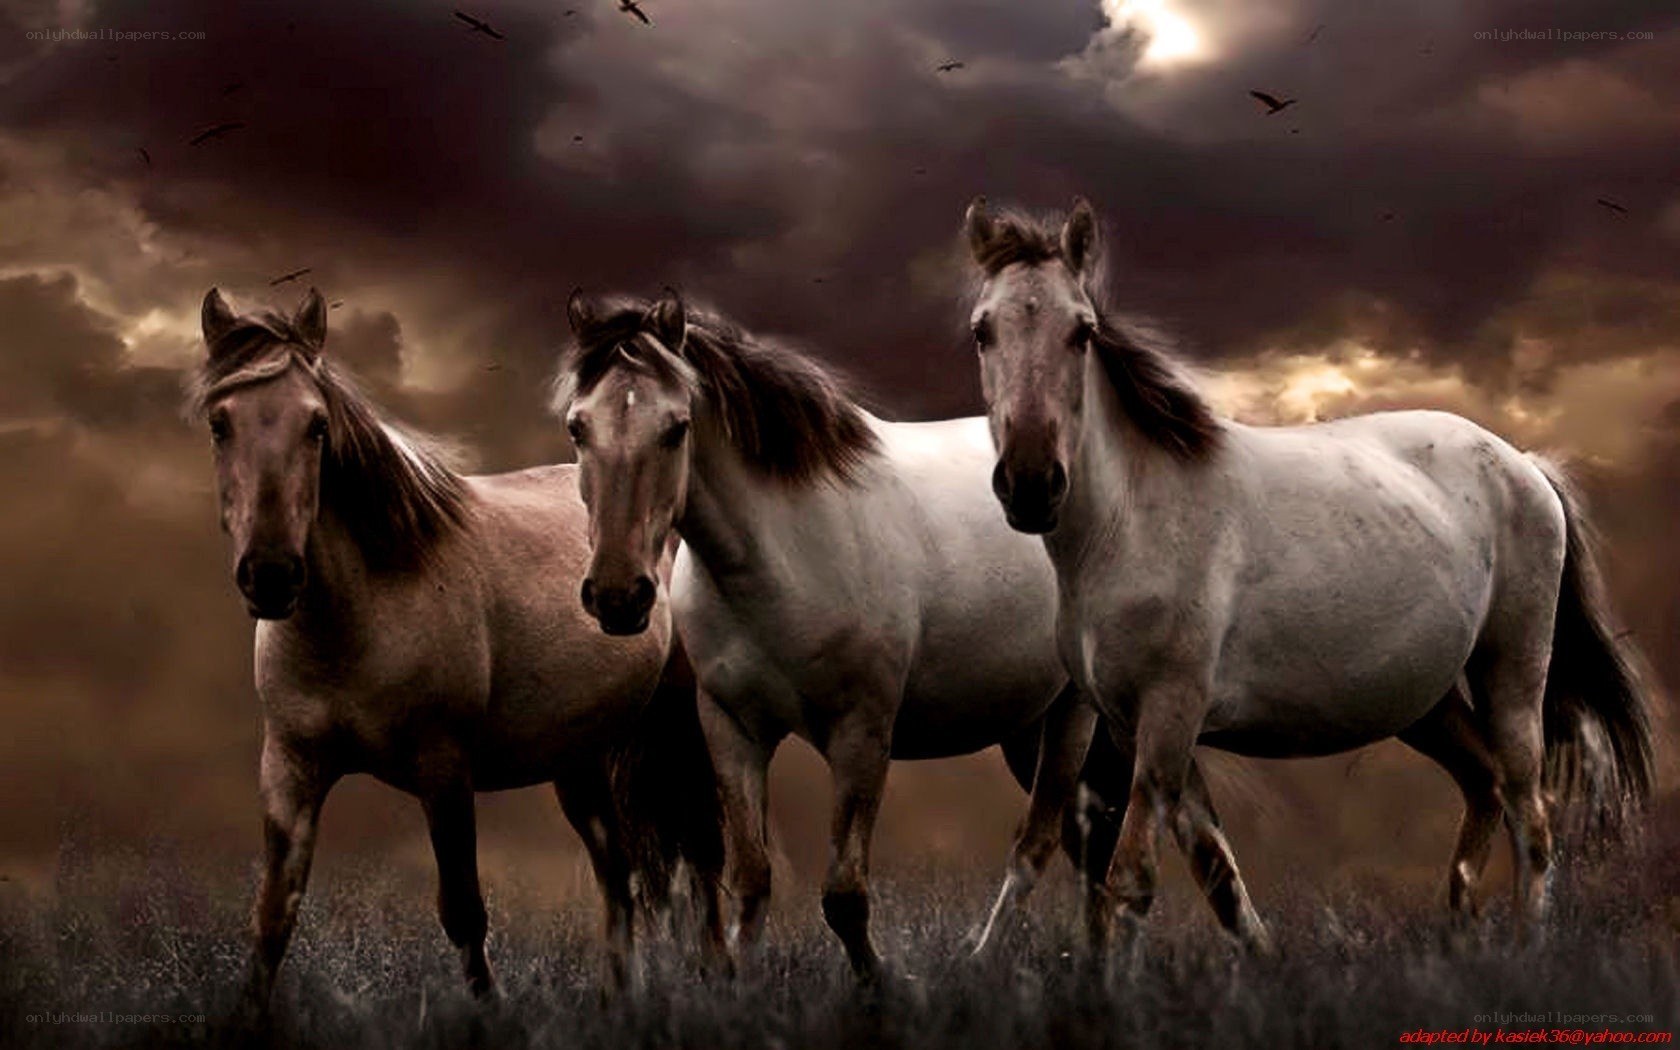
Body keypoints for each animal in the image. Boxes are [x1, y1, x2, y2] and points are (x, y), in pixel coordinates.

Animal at [187, 287, 723, 1010]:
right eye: (221, 424)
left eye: (316, 426)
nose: (271, 576)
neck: (360, 614)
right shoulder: (290, 768)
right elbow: (273, 915)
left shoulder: (443, 772)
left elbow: (464, 911)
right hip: (578, 760)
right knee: (619, 879)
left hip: (678, 728)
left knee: (703, 855)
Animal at [548, 291, 1268, 978]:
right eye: (577, 426)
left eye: (677, 428)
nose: (618, 595)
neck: (785, 549)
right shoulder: (732, 728)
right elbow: (750, 882)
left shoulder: (862, 732)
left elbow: (844, 895)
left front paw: (883, 987)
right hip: (1034, 725)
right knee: (1110, 840)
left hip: (1075, 716)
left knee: (1044, 841)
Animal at [959, 197, 1656, 947]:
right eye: (983, 331)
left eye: (1081, 332)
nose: (1031, 483)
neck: (1131, 523)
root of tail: (1524, 464)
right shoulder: (1133, 728)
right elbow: (1218, 875)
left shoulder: (1168, 717)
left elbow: (1132, 880)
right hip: (1428, 703)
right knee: (1485, 786)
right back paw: (1460, 937)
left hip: (1513, 675)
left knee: (1532, 813)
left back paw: (1525, 944)